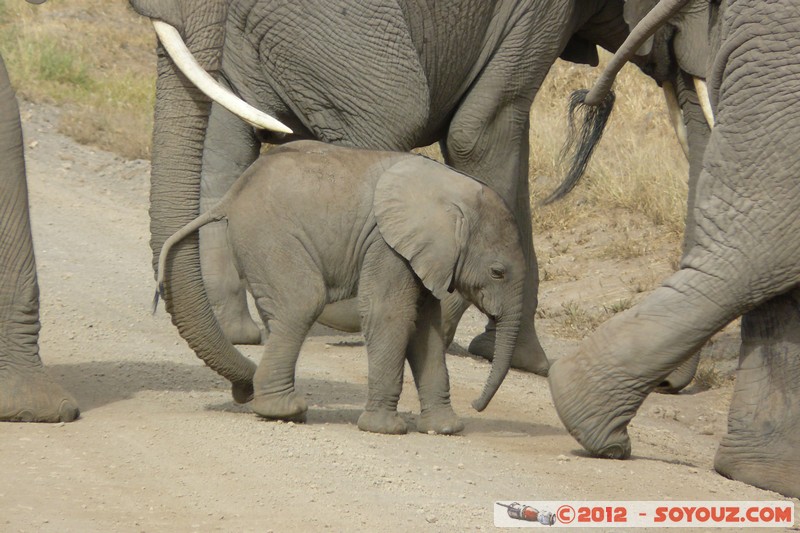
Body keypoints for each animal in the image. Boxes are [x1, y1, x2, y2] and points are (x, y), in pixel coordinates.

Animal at [159, 140, 528, 432]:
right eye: (497, 272)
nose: (477, 406)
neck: (452, 192)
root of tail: (232, 195)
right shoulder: (387, 245)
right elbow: (388, 316)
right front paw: (385, 429)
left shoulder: (425, 256)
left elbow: (427, 328)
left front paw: (445, 429)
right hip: (270, 236)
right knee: (302, 303)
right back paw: (285, 411)